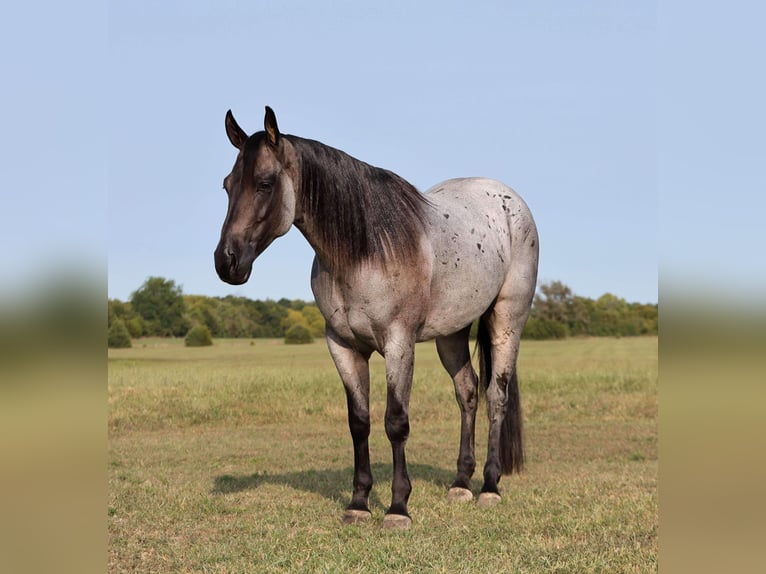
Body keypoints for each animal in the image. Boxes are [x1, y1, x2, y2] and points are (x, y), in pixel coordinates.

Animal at [214, 107, 540, 532]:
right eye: (227, 185)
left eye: (265, 184)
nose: (227, 262)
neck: (365, 250)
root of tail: (508, 200)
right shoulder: (343, 346)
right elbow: (360, 422)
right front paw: (358, 503)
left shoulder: (399, 344)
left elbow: (395, 422)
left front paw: (398, 508)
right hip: (451, 333)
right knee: (467, 392)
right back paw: (460, 483)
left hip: (507, 320)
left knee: (495, 397)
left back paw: (489, 487)